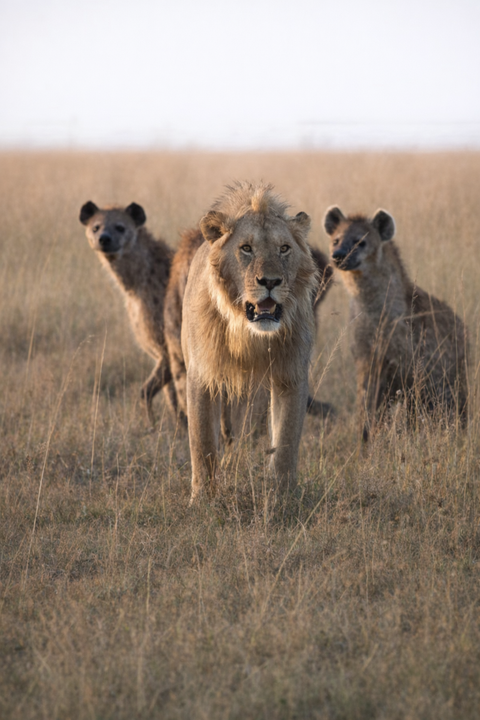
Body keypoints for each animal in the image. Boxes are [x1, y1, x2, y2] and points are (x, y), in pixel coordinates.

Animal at [180, 181, 319, 502]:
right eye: (246, 248)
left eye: (284, 248)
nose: (270, 281)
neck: (250, 335)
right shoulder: (201, 375)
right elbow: (202, 442)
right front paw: (201, 498)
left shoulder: (291, 375)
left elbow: (285, 442)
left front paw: (283, 495)